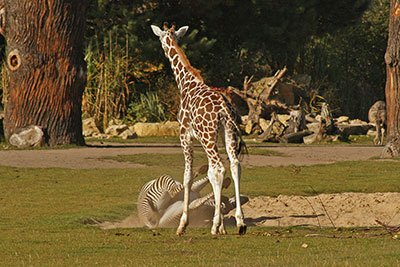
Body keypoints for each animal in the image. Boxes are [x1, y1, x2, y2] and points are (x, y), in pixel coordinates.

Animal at [151, 23, 247, 237]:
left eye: (160, 38)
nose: (163, 50)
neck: (186, 83)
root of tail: (223, 109)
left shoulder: (184, 134)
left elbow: (187, 176)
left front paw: (182, 225)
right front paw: (222, 226)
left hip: (207, 136)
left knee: (218, 168)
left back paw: (214, 225)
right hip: (228, 133)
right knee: (234, 165)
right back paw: (240, 223)